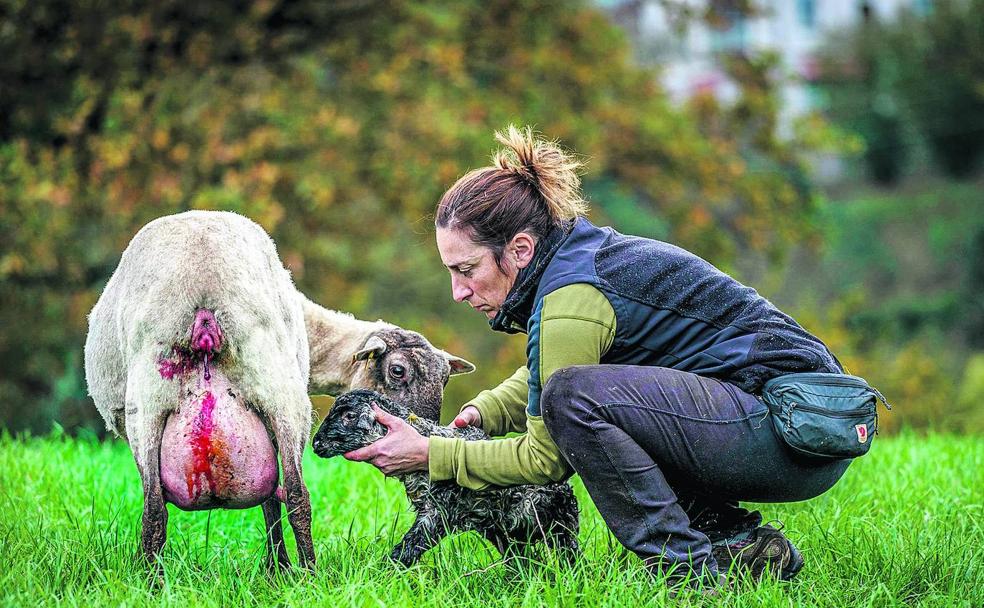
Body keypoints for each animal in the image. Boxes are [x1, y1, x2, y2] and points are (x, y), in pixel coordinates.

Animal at [312, 390, 580, 564]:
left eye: (348, 415)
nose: (315, 444)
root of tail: (564, 486)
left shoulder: (438, 512)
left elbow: (408, 547)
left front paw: (382, 573)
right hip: (504, 532)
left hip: (560, 526)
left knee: (569, 557)